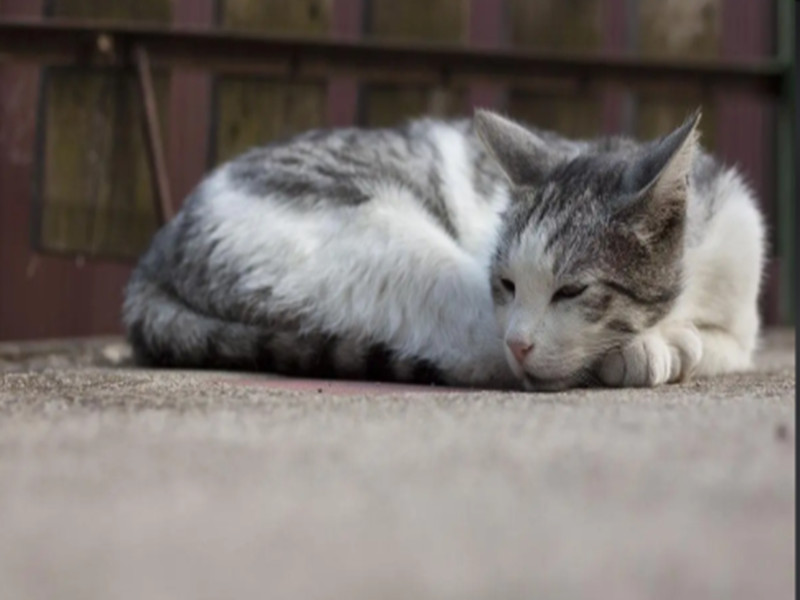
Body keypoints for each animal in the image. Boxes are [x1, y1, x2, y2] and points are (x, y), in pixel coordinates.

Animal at [122, 108, 764, 392]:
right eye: (506, 282)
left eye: (574, 289)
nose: (521, 339)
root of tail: (157, 248)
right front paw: (648, 348)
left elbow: (725, 345)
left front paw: (672, 343)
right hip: (390, 247)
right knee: (474, 354)